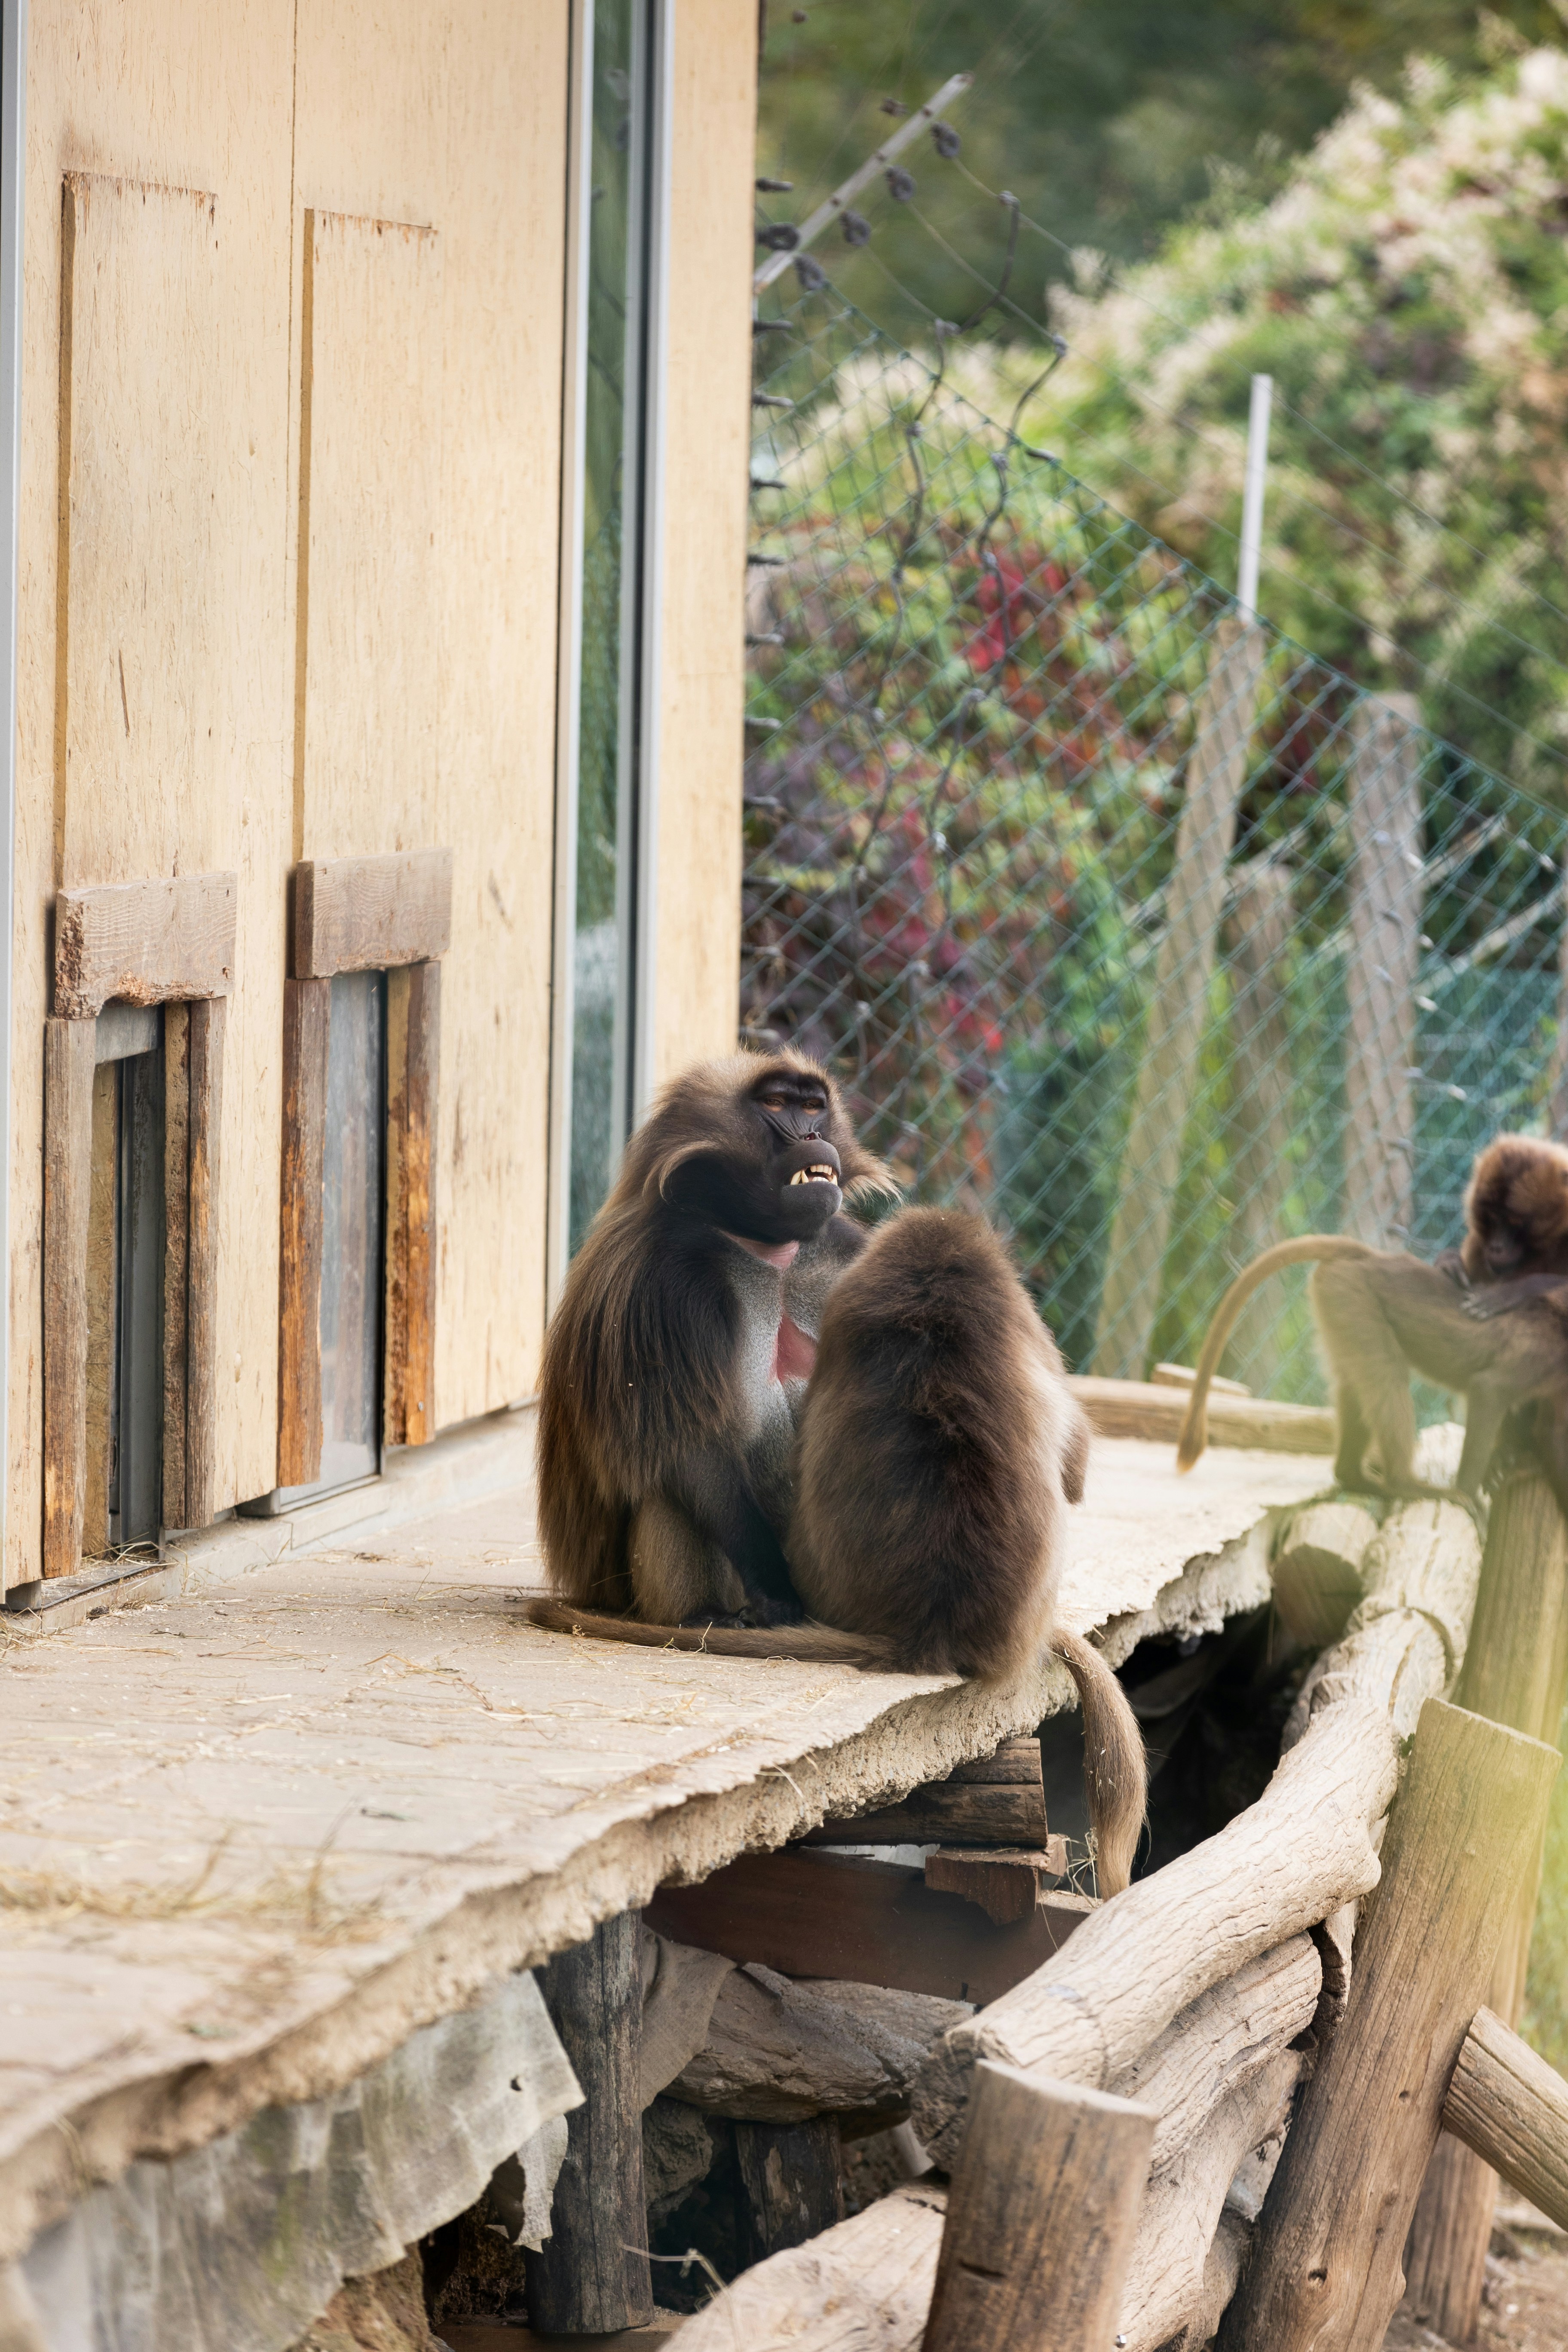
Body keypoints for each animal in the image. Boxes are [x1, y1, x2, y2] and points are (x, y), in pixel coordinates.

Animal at [534, 1048, 896, 1632]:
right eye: (776, 1103)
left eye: (813, 1106)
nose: (811, 1135)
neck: (768, 1248)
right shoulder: (660, 1280)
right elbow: (693, 1449)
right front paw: (776, 1594)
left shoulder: (847, 1254)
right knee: (669, 1472)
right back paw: (705, 1615)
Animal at [1173, 1234, 1568, 1517]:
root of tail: (1372, 1257)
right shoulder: (1544, 1355)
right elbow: (1490, 1391)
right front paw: (1465, 1492)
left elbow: (1552, 1432)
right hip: (1352, 1295)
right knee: (1387, 1376)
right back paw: (1405, 1484)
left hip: (1339, 1302)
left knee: (1356, 1383)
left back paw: (1354, 1476)